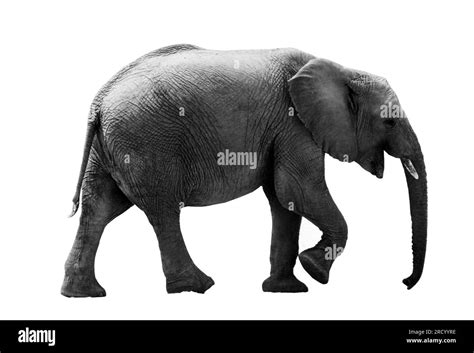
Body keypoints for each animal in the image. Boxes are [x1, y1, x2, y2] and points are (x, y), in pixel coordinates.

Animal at [61, 44, 428, 296]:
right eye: (390, 121)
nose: (405, 282)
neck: (342, 70)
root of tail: (100, 100)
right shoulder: (294, 124)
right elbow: (297, 190)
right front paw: (314, 270)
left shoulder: (284, 130)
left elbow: (284, 200)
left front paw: (287, 290)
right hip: (147, 142)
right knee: (162, 211)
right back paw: (196, 286)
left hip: (109, 148)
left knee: (99, 209)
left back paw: (84, 294)